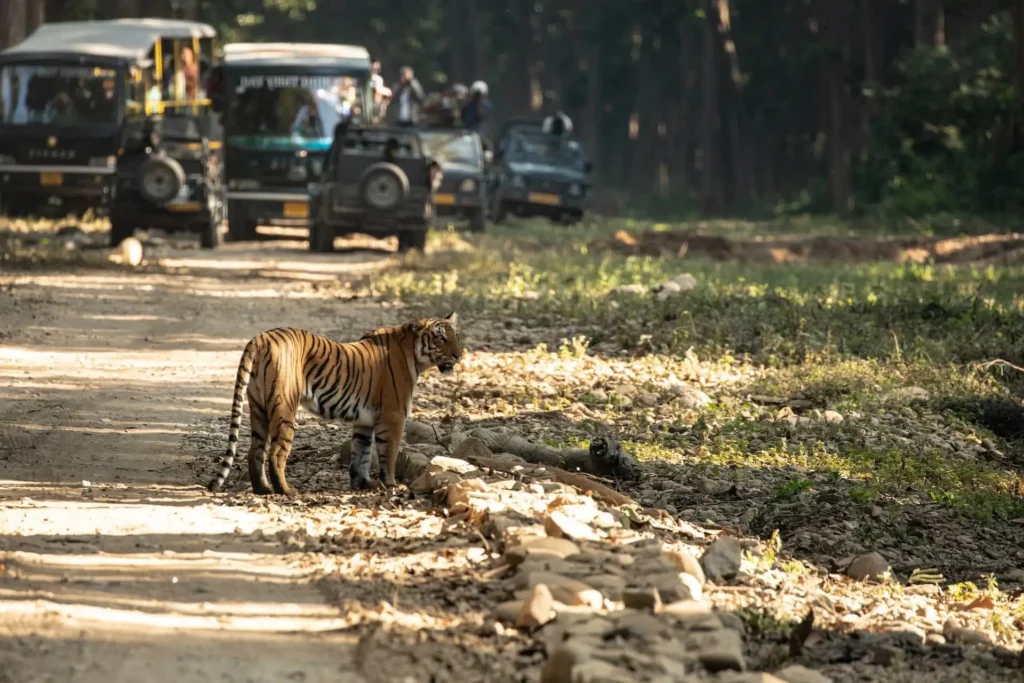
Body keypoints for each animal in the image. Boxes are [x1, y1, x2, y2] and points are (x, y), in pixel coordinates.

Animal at [205, 313, 462, 497]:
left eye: (456, 337)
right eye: (440, 338)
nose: (459, 355)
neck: (414, 355)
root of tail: (260, 338)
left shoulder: (365, 421)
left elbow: (362, 453)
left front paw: (364, 484)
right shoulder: (394, 416)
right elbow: (388, 454)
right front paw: (391, 485)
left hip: (258, 407)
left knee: (255, 451)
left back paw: (263, 490)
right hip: (284, 407)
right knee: (276, 453)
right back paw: (286, 491)